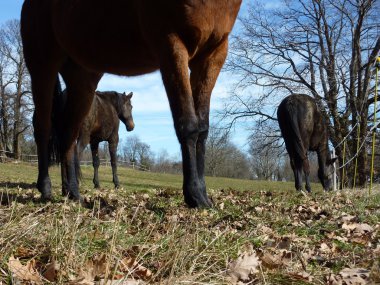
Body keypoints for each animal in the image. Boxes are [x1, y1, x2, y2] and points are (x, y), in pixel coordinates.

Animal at [20, 0, 242, 206]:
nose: (131, 126)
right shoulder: (171, 46)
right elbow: (188, 124)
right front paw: (195, 195)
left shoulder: (213, 54)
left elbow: (202, 129)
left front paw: (203, 193)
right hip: (42, 68)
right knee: (43, 128)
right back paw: (46, 187)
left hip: (82, 81)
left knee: (67, 134)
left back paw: (73, 193)